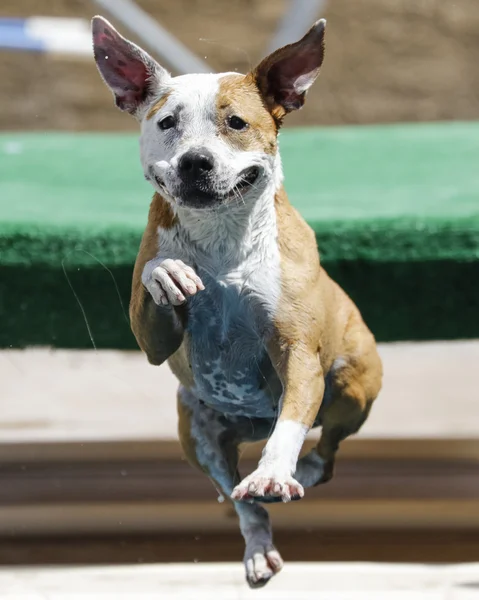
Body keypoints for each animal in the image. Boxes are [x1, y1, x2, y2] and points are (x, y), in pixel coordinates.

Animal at [93, 16, 382, 588]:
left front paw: (273, 472)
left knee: (327, 451)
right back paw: (258, 548)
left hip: (354, 378)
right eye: (168, 123)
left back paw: (299, 471)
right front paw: (172, 274)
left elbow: (291, 422)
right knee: (237, 497)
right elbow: (158, 286)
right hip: (196, 434)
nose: (195, 161)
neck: (223, 237)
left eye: (235, 122)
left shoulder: (298, 353)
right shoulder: (152, 337)